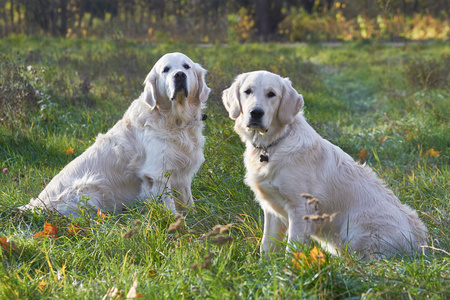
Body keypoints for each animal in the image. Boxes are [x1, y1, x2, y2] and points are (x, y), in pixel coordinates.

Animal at [21, 52, 211, 218]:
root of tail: (34, 206)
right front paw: (177, 224)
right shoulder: (157, 173)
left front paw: (194, 218)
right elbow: (168, 204)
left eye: (186, 66)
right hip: (89, 188)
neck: (175, 121)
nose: (179, 75)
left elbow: (187, 199)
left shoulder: (183, 174)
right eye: (165, 69)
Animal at [223, 71, 428, 260]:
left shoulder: (301, 208)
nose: (256, 113)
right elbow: (267, 245)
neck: (273, 144)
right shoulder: (272, 209)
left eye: (271, 94)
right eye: (247, 91)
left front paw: (289, 269)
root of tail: (422, 244)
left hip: (356, 231)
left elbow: (293, 247)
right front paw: (265, 267)